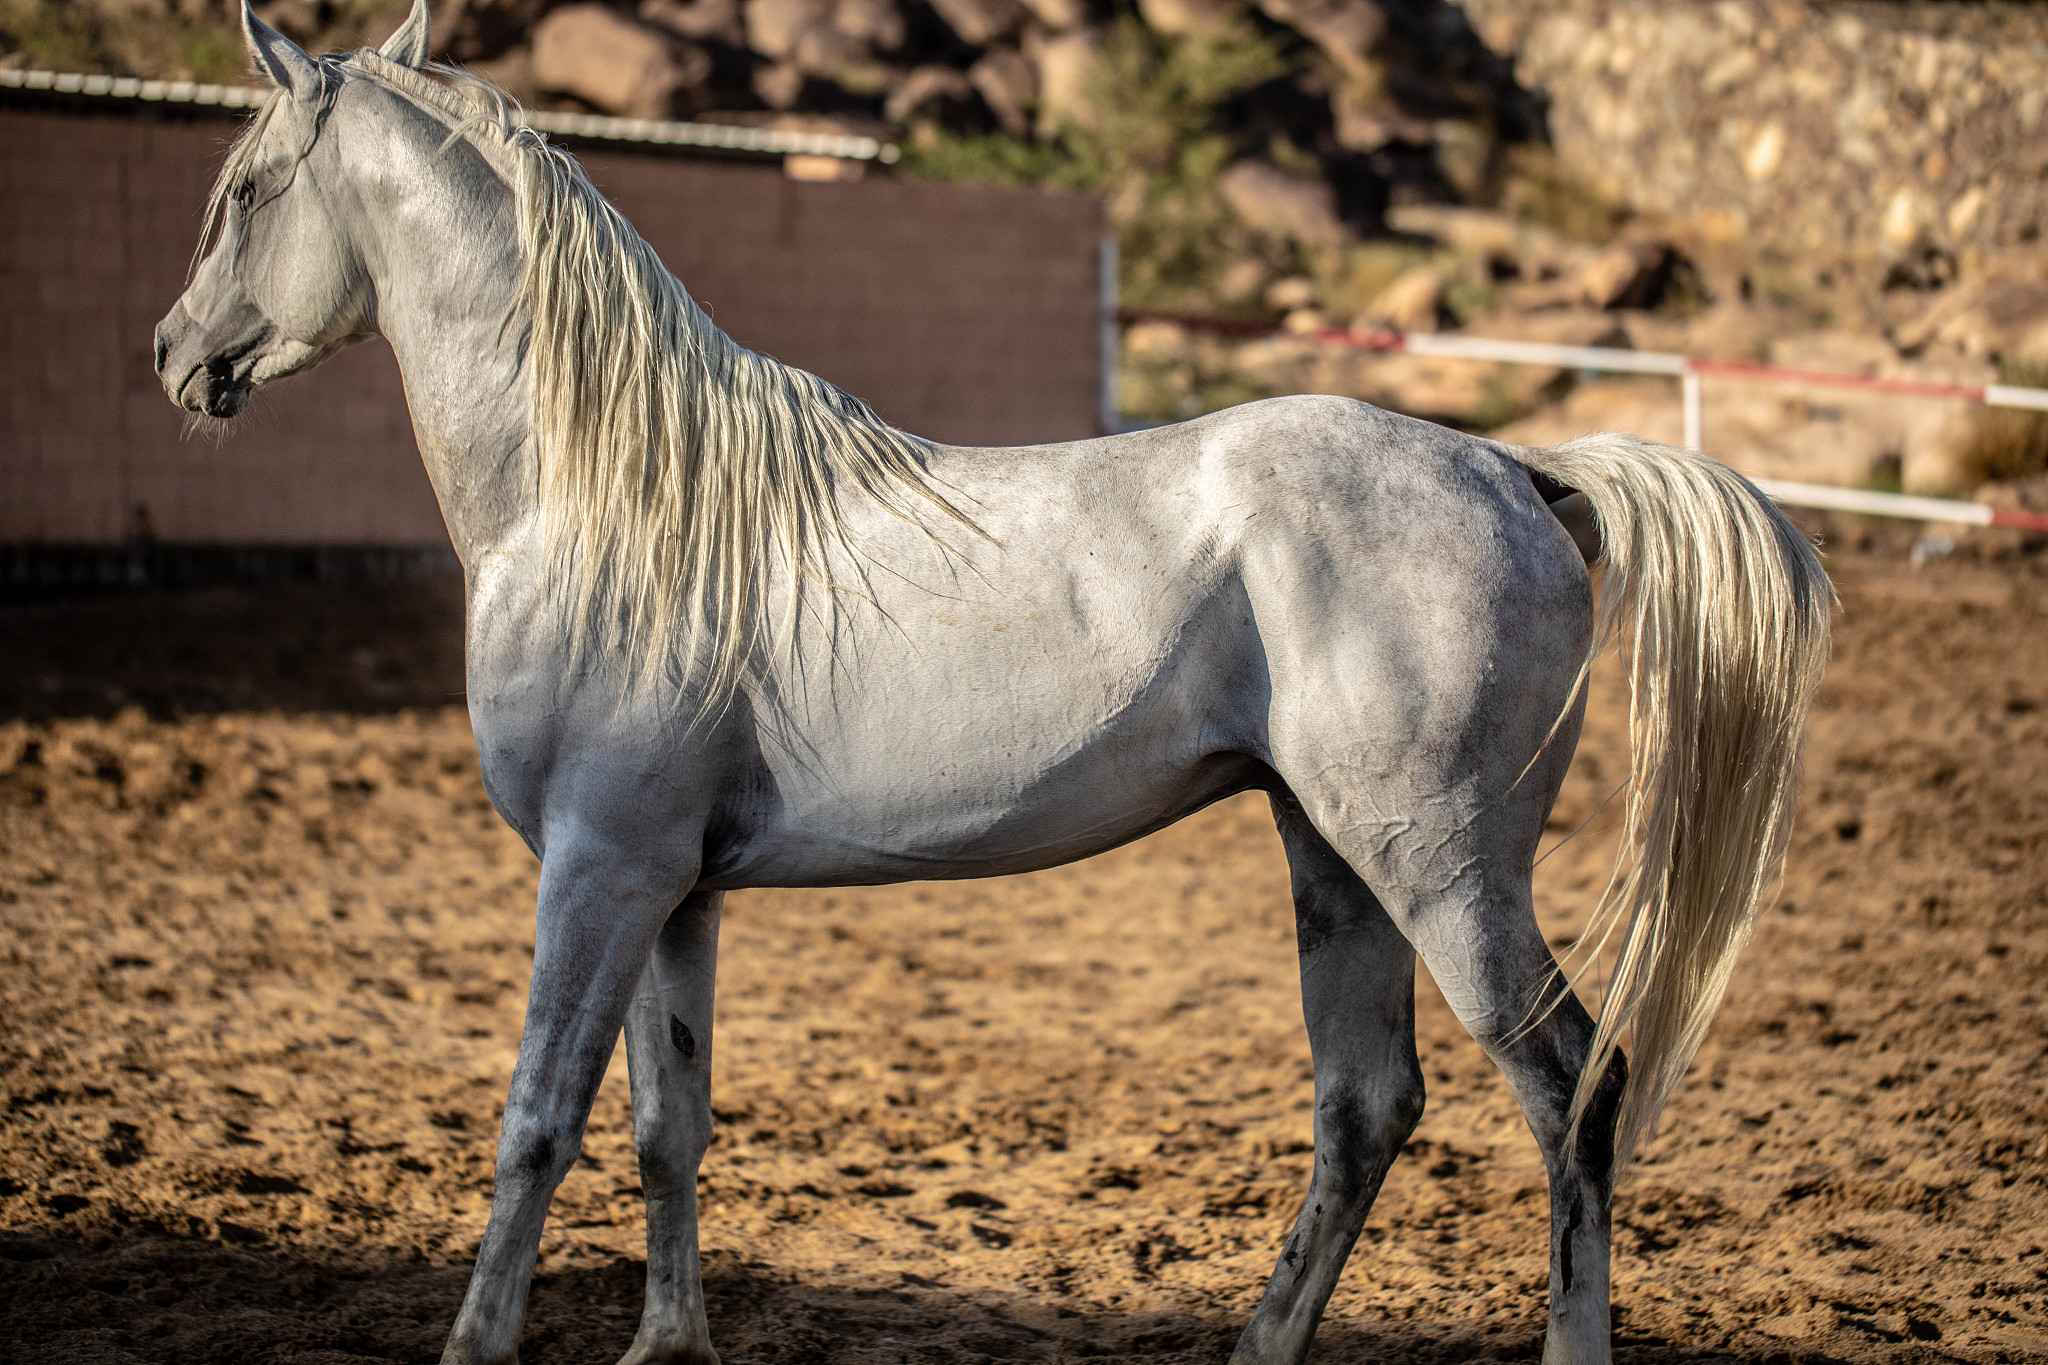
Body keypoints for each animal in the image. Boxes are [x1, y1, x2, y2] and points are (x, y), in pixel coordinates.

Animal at [154, 5, 1832, 1362]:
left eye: (242, 189)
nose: (175, 357)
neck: (615, 502)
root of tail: (1515, 467)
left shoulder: (598, 869)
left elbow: (537, 1125)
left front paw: (480, 1340)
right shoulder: (673, 891)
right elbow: (666, 1126)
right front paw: (668, 1343)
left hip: (1445, 872)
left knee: (1573, 1099)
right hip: (1334, 857)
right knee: (1368, 1109)